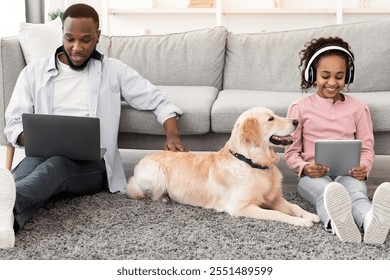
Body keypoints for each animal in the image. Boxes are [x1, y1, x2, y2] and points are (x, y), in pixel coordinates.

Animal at [126, 106, 318, 226]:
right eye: (271, 118)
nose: (296, 121)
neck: (252, 163)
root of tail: (144, 158)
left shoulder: (275, 198)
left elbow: (294, 207)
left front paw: (310, 215)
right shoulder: (241, 206)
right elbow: (277, 214)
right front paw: (300, 221)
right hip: (156, 174)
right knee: (150, 194)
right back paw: (165, 198)